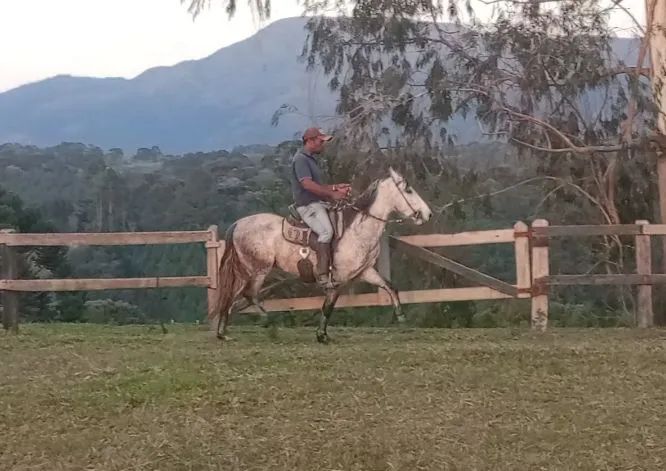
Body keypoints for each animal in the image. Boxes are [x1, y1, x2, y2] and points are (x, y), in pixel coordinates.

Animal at [209, 167, 432, 343]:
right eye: (408, 190)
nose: (427, 214)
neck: (356, 230)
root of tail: (238, 224)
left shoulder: (365, 271)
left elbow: (390, 286)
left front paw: (401, 318)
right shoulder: (338, 279)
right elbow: (329, 306)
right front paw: (321, 335)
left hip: (246, 271)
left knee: (232, 296)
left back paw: (222, 333)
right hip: (258, 270)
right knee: (249, 294)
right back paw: (269, 324)